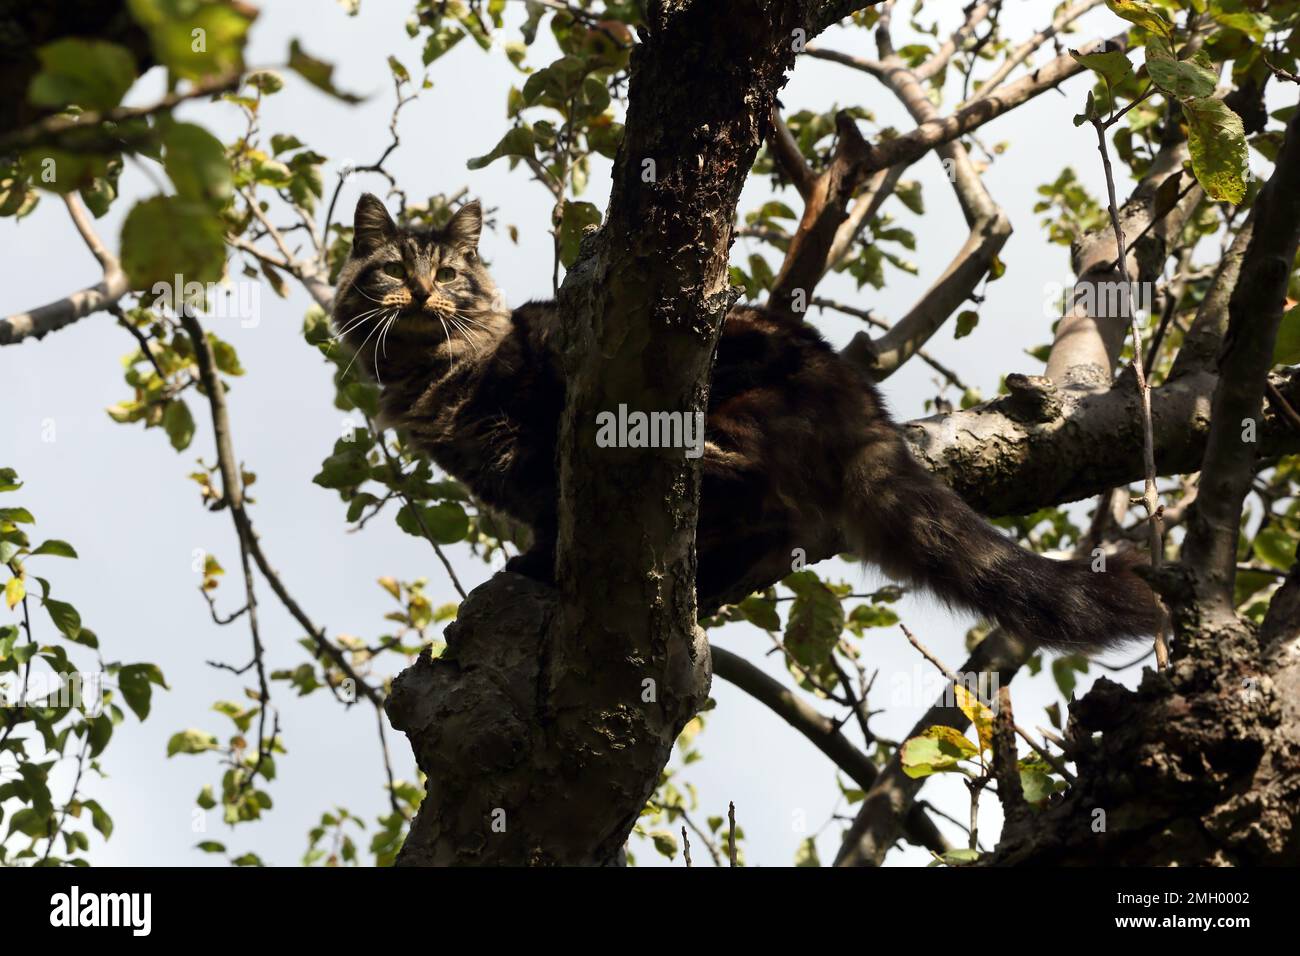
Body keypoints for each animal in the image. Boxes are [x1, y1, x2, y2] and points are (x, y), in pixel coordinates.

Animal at [332, 196, 1159, 658]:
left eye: (448, 274)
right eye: (393, 270)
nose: (420, 292)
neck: (437, 375)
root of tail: (862, 401)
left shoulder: (537, 442)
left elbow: (554, 519)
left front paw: (535, 565)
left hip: (726, 390)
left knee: (754, 491)